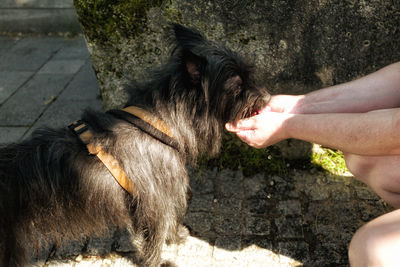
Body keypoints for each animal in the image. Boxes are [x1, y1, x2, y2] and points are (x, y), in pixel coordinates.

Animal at [0, 24, 270, 266]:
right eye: (237, 85)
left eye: (249, 75)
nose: (267, 97)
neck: (160, 121)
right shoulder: (155, 200)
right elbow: (157, 233)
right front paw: (158, 261)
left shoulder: (165, 193)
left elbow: (170, 220)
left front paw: (176, 237)